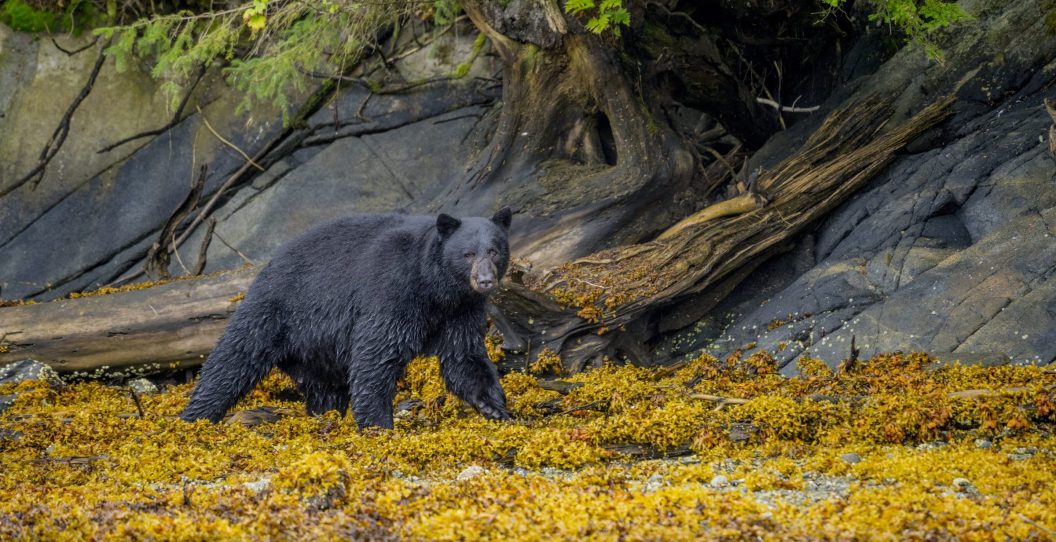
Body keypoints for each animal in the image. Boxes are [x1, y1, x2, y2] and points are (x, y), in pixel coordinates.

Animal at [180, 208, 514, 429]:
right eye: (468, 254)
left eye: (494, 251)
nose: (485, 280)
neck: (437, 289)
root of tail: (268, 264)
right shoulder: (393, 291)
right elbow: (376, 353)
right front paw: (378, 425)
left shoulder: (461, 310)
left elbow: (463, 356)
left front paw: (495, 408)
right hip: (276, 311)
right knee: (232, 360)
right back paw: (194, 417)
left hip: (317, 351)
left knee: (325, 388)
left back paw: (325, 416)